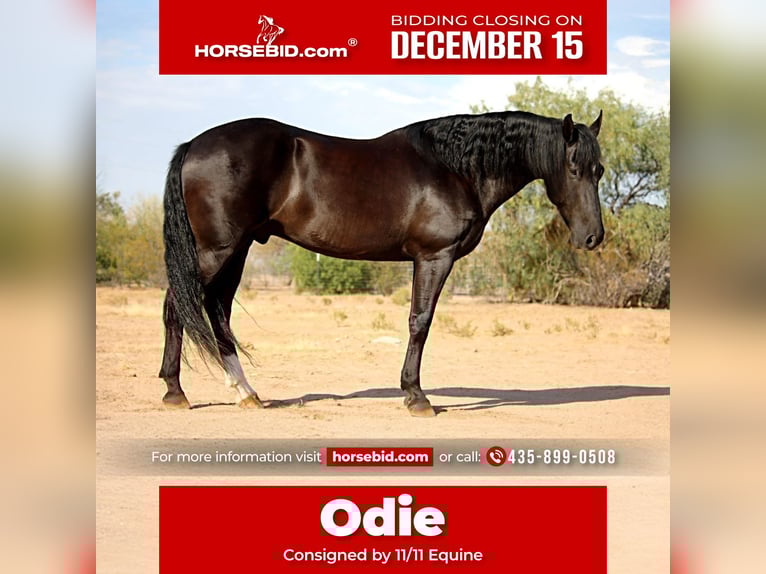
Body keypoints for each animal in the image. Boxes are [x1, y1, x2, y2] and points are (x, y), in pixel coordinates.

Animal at [159, 110, 605, 417]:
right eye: (573, 168)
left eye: (599, 170)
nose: (593, 237)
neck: (456, 168)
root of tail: (193, 145)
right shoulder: (434, 257)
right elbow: (420, 322)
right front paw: (417, 397)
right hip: (215, 251)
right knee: (177, 306)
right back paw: (175, 392)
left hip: (238, 249)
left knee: (218, 312)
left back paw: (246, 392)